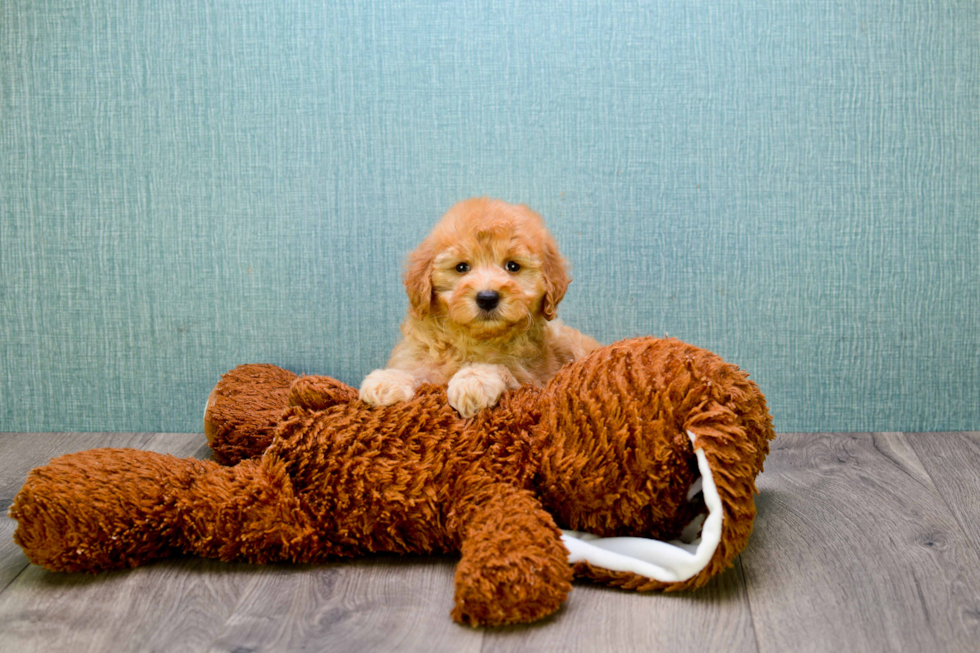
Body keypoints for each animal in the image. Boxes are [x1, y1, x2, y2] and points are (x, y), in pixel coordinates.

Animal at [358, 196, 596, 416]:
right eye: (462, 267)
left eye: (513, 266)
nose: (487, 297)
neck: (473, 339)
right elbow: (417, 370)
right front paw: (388, 379)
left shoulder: (532, 380)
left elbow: (500, 367)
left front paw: (473, 380)